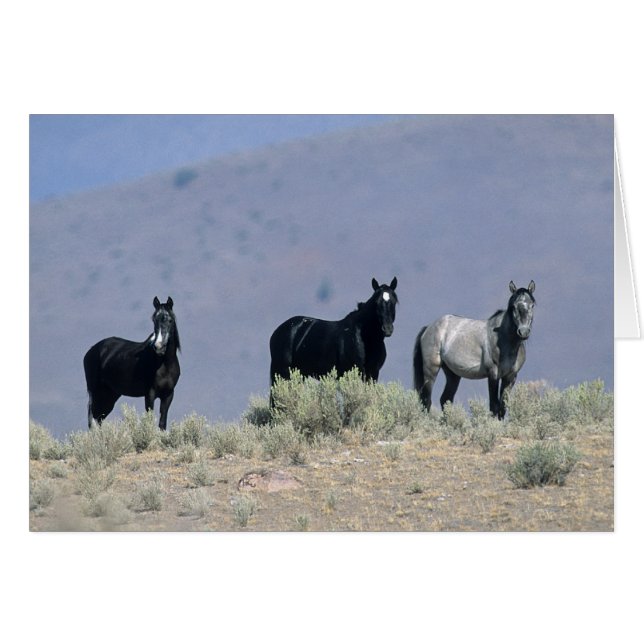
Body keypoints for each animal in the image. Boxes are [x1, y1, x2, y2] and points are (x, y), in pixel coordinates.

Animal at [83, 297, 181, 430]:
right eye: (154, 320)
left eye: (170, 320)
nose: (158, 347)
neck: (164, 364)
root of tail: (91, 350)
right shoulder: (150, 394)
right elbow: (150, 420)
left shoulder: (168, 395)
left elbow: (162, 424)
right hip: (96, 392)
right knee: (93, 420)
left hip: (110, 394)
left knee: (99, 419)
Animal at [269, 277, 399, 394]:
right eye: (376, 303)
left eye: (394, 302)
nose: (387, 329)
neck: (364, 338)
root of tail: (277, 332)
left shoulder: (373, 374)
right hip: (283, 372)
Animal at [413, 280, 535, 419]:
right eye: (514, 306)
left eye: (532, 305)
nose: (523, 332)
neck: (504, 340)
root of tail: (428, 327)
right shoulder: (493, 374)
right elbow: (494, 406)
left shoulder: (510, 377)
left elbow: (502, 408)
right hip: (431, 370)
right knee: (426, 401)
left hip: (452, 374)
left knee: (445, 399)